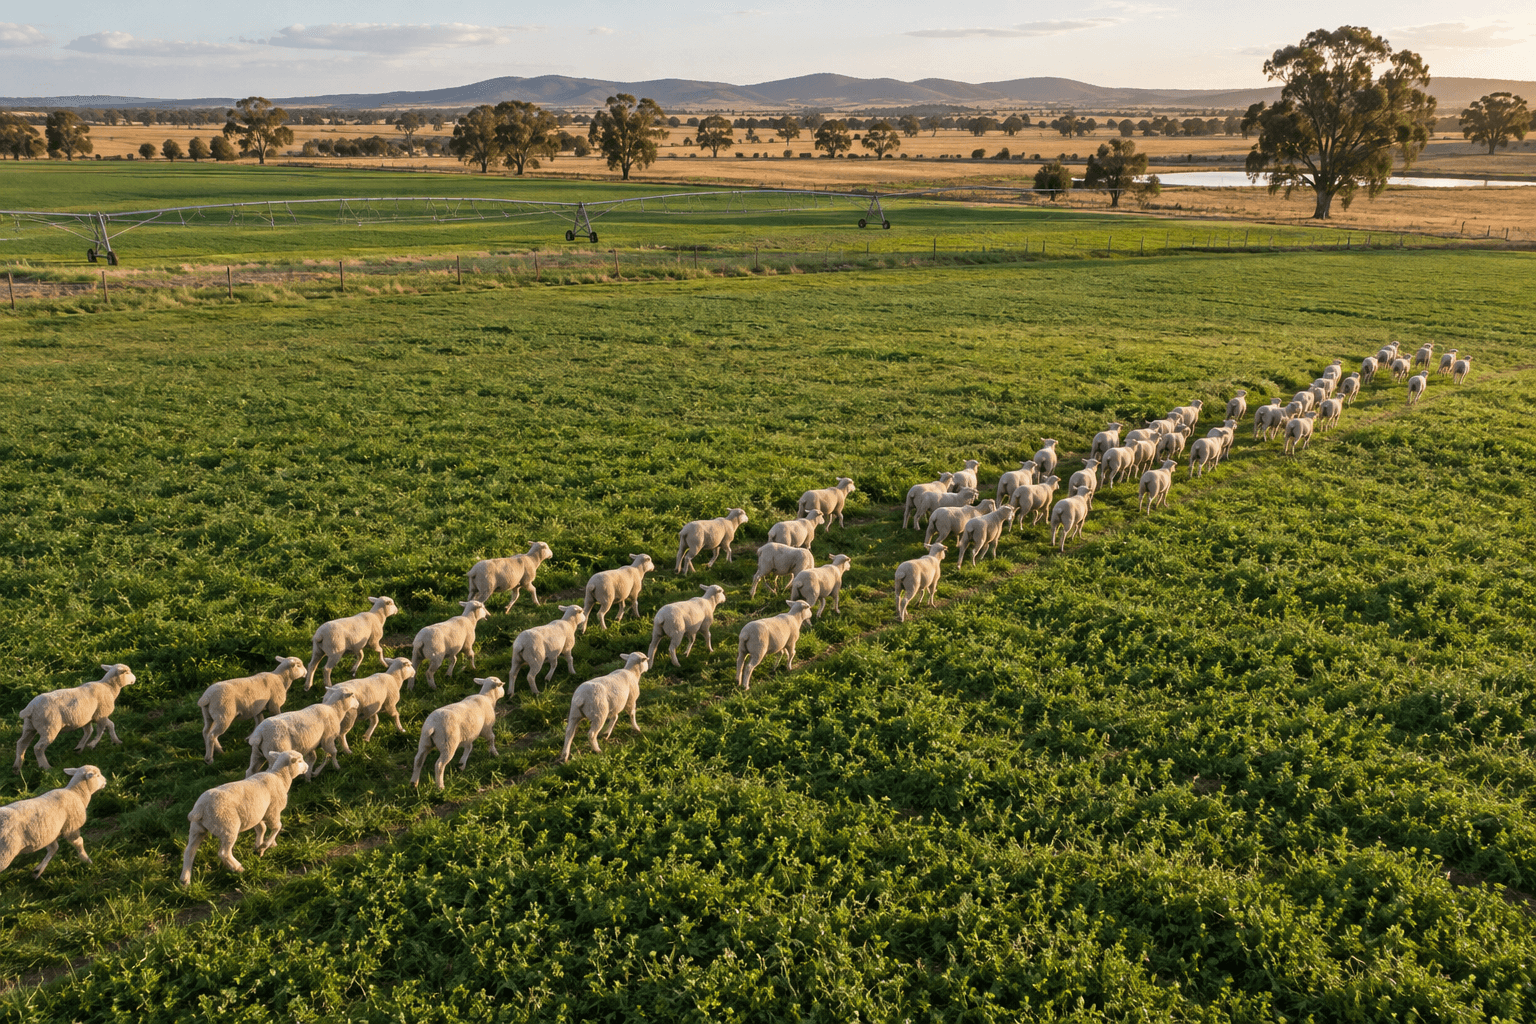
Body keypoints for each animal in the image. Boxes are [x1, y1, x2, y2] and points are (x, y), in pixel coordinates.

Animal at [179, 751, 307, 887]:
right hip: (227, 826)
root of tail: (199, 809)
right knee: (223, 853)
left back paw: (185, 880)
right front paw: (264, 846)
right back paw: (238, 868)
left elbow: (261, 829)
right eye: (300, 761)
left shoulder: (257, 814)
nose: (307, 767)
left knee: (189, 850)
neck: (280, 777)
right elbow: (277, 827)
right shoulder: (273, 812)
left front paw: (259, 846)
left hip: (197, 828)